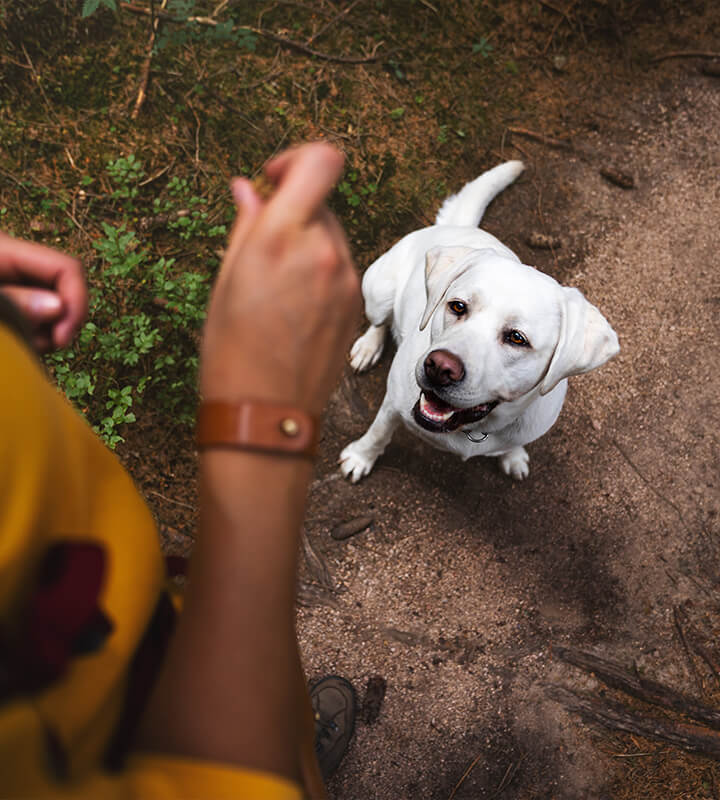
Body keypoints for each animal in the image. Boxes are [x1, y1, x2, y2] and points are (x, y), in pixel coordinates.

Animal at [338, 159, 620, 478]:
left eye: (517, 338)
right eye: (458, 307)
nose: (440, 367)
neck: (473, 427)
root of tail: (461, 227)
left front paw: (513, 456)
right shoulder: (392, 405)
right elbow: (379, 432)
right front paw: (361, 456)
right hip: (378, 291)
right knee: (379, 321)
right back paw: (368, 347)